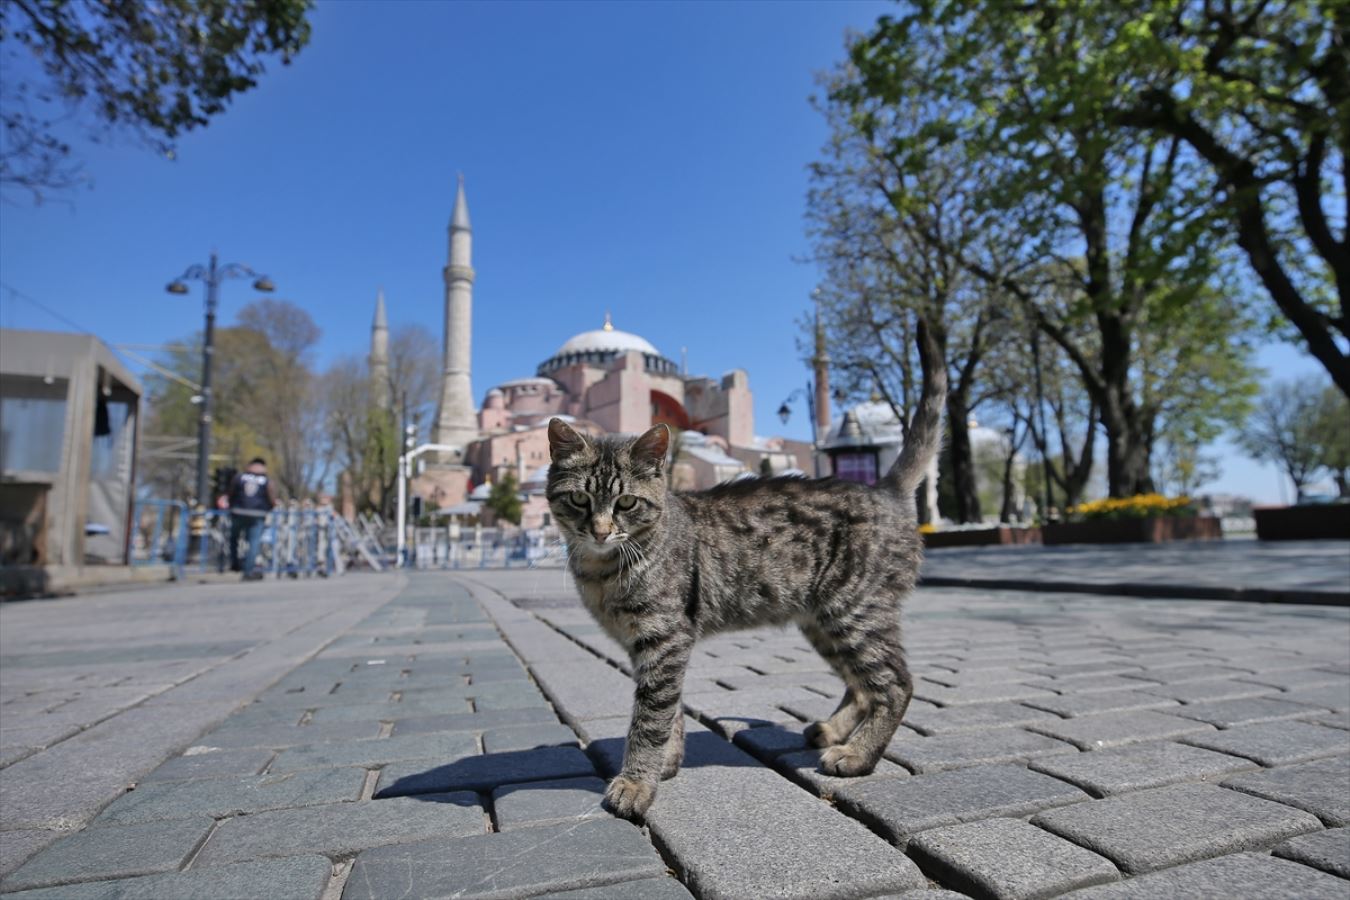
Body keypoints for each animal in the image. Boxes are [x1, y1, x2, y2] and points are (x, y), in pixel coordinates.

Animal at [542, 325, 945, 825]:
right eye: (580, 500)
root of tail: (883, 489)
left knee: (895, 685)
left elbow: (650, 717)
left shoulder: (665, 639)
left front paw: (636, 781)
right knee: (862, 685)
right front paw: (667, 762)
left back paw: (858, 755)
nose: (599, 530)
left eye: (626, 503)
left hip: (854, 613)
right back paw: (834, 731)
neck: (604, 569)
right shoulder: (652, 649)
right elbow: (670, 711)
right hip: (824, 623)